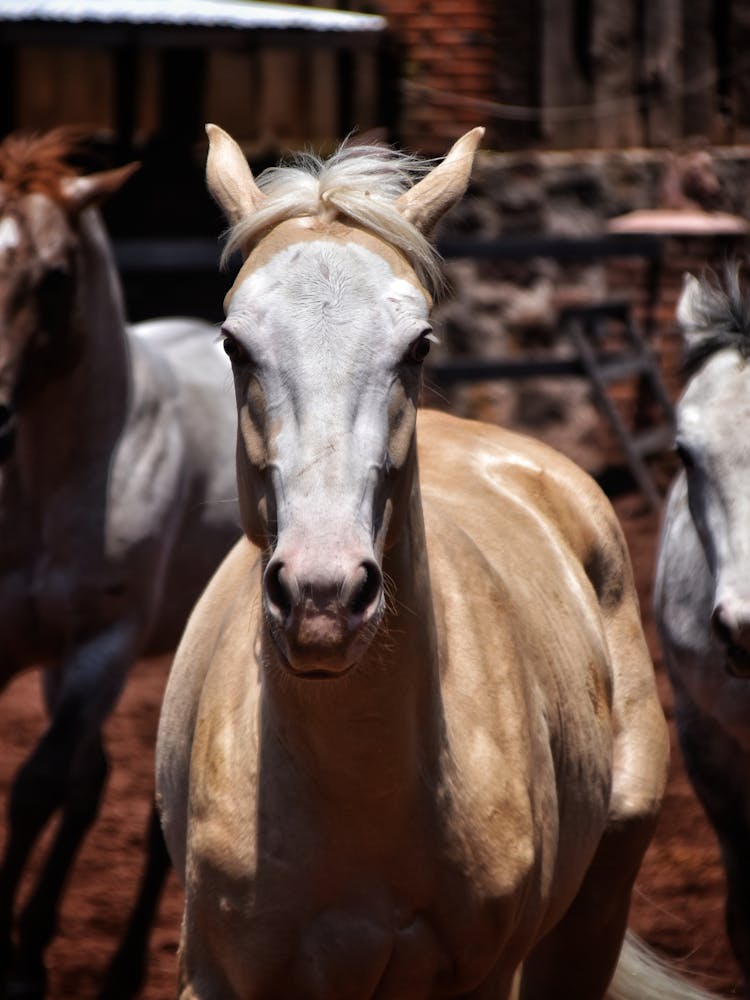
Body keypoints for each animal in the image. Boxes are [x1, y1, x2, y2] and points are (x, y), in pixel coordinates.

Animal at [0, 129, 241, 996]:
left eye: (54, 277)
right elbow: (61, 784)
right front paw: (21, 951)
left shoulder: (104, 646)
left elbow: (34, 787)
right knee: (93, 781)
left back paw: (119, 969)